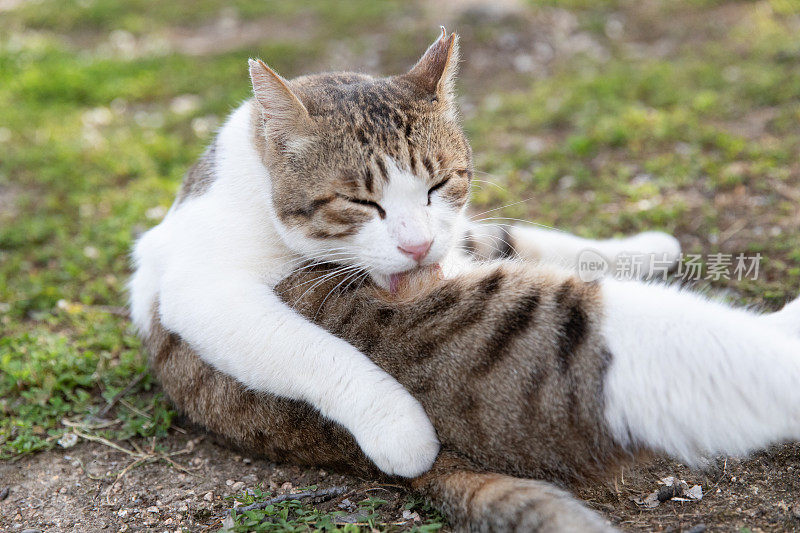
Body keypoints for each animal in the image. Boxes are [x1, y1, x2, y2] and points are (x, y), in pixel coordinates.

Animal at [128, 27, 680, 478]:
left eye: (438, 184)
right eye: (360, 202)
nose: (417, 245)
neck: (262, 193)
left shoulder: (454, 234)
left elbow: (510, 239)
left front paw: (645, 248)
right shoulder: (202, 289)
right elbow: (308, 348)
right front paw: (398, 428)